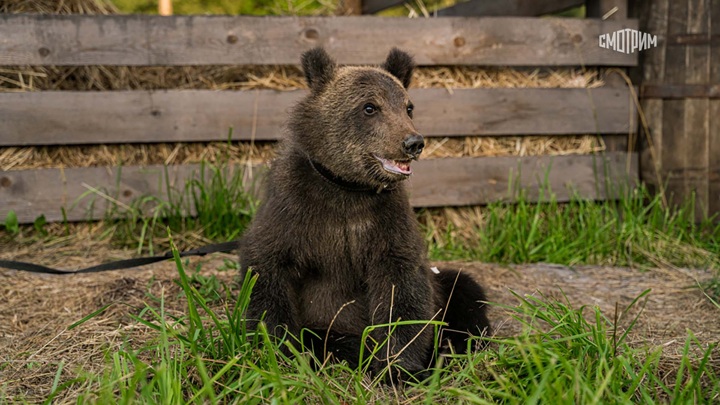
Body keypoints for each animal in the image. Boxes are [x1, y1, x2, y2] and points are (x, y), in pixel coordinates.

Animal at [239, 46, 492, 378]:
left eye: (408, 107)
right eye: (370, 107)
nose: (413, 142)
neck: (347, 188)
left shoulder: (386, 224)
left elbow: (402, 288)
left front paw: (398, 366)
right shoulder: (293, 212)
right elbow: (267, 271)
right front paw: (278, 349)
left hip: (444, 288)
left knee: (464, 288)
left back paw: (459, 344)